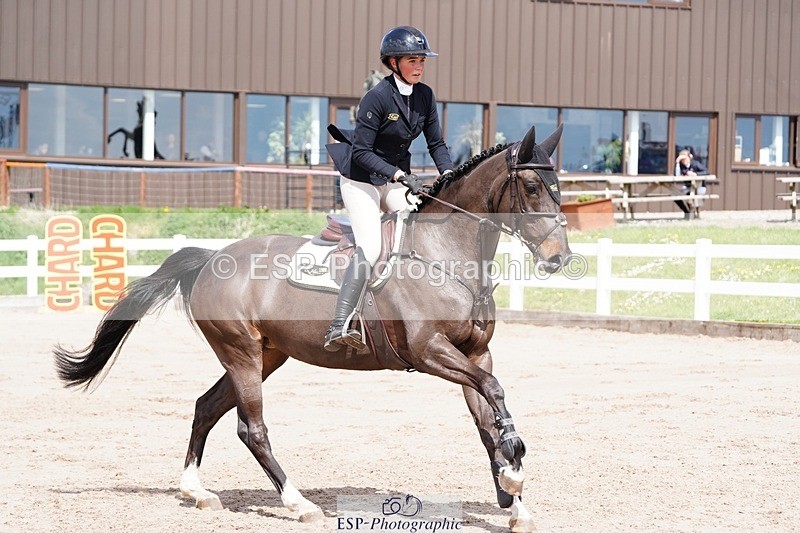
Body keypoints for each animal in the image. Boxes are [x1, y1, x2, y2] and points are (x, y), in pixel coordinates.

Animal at [54, 123, 570, 532]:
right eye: (531, 187)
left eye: (558, 186)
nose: (559, 258)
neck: (446, 255)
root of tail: (211, 258)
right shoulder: (429, 351)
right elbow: (494, 392)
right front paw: (514, 467)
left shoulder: (474, 351)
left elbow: (486, 415)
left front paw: (513, 498)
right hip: (241, 351)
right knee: (252, 428)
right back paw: (297, 503)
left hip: (267, 354)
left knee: (206, 407)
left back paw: (196, 491)